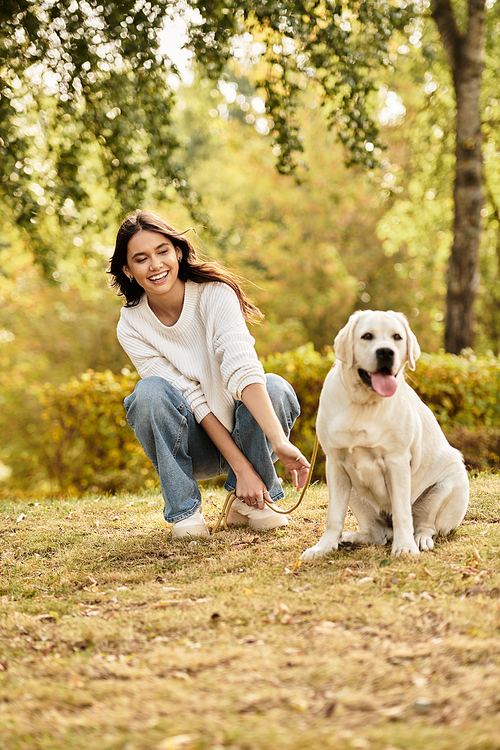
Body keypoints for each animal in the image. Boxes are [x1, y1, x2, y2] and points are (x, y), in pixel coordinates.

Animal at [300, 308, 468, 560]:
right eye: (367, 336)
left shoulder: (396, 462)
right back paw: (352, 538)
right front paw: (323, 547)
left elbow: (402, 512)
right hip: (354, 491)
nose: (386, 352)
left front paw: (405, 547)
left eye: (397, 337)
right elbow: (334, 516)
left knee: (425, 524)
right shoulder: (336, 464)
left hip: (450, 482)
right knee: (378, 534)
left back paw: (419, 539)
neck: (364, 403)